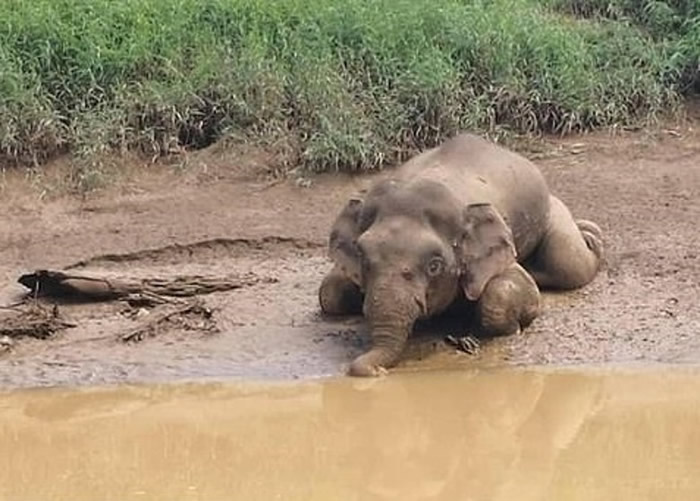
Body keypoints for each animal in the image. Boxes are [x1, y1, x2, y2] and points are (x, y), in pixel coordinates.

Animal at [320, 133, 604, 376]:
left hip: (550, 212)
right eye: (362, 256)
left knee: (569, 262)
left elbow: (507, 290)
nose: (377, 372)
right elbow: (329, 292)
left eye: (434, 265)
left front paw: (514, 329)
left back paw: (592, 236)